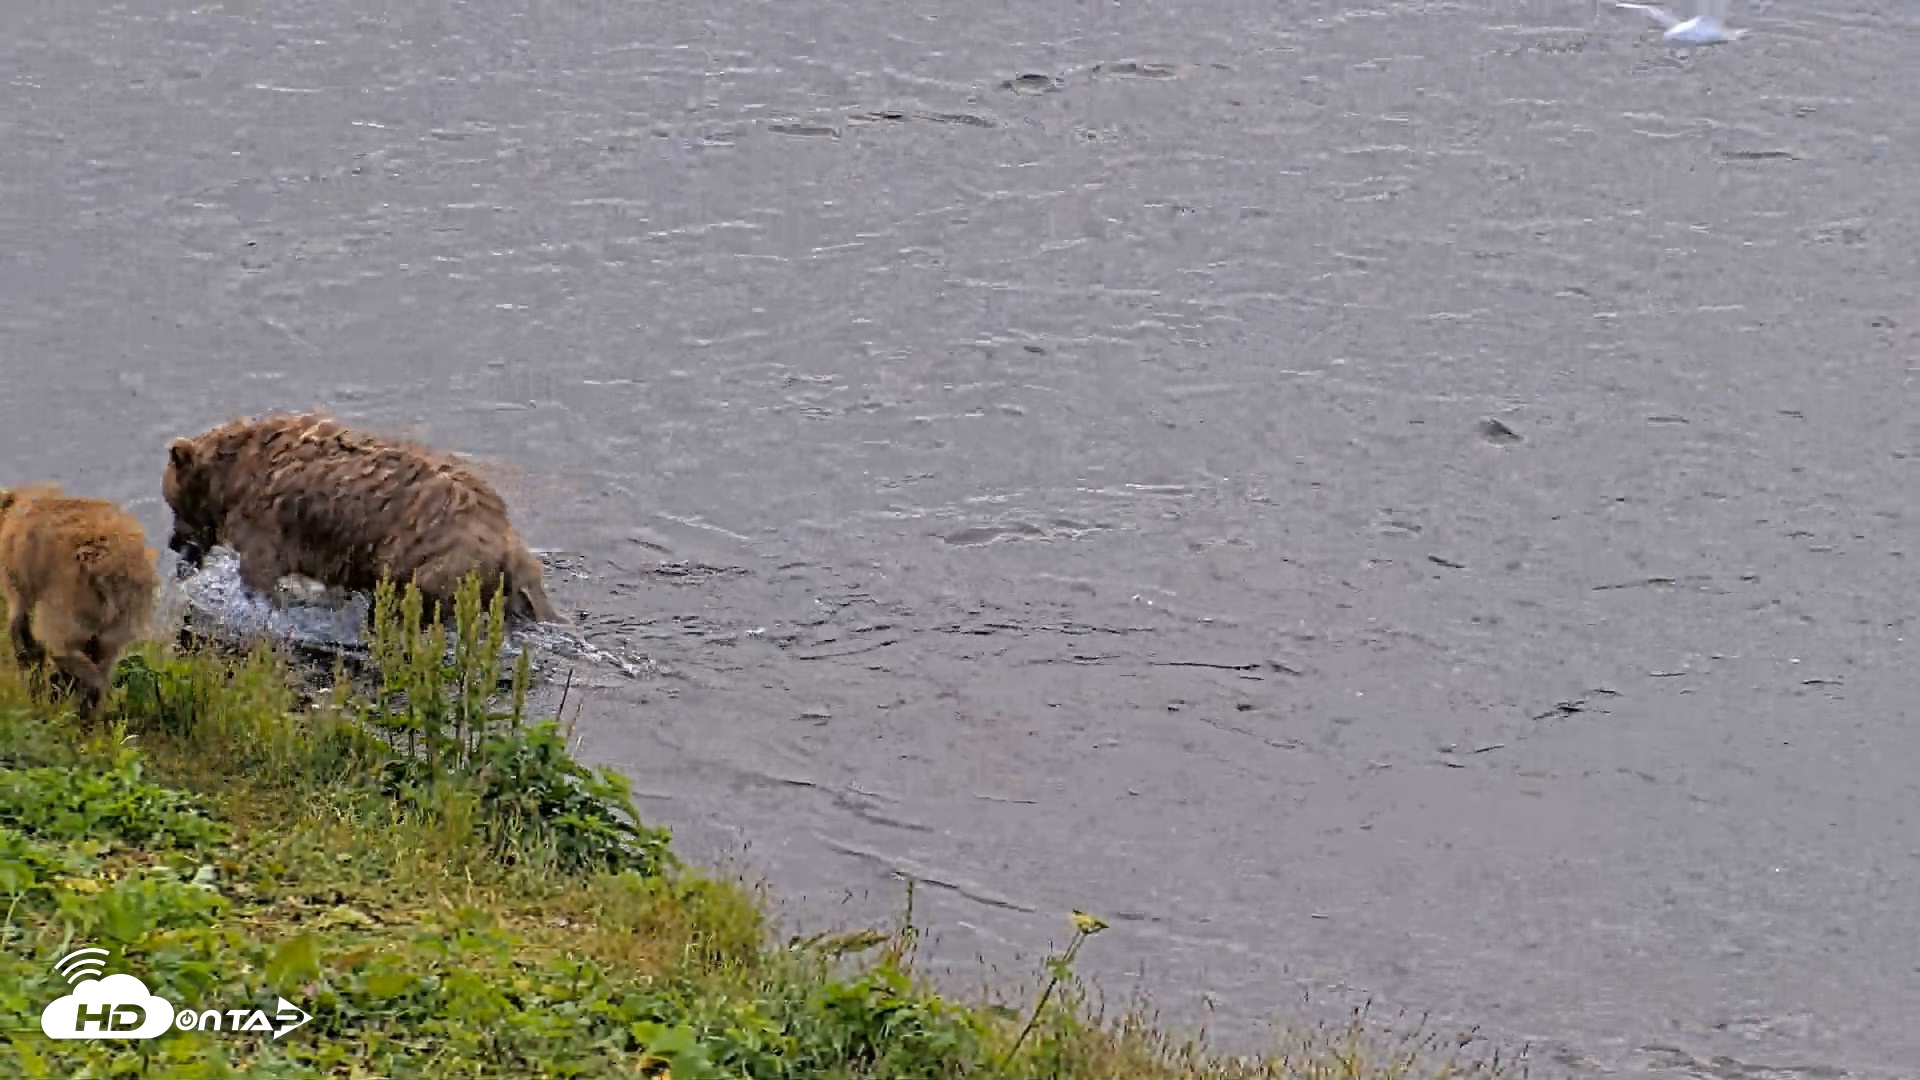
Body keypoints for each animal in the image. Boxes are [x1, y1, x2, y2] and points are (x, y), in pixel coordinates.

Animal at [0, 484, 162, 718]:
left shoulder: (19, 586)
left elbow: (21, 632)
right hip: (127, 612)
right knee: (104, 654)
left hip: (67, 599)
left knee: (63, 647)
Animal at [161, 412, 562, 627]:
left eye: (173, 504)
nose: (174, 542)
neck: (232, 477)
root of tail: (507, 543)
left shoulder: (267, 521)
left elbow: (259, 571)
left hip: (434, 564)